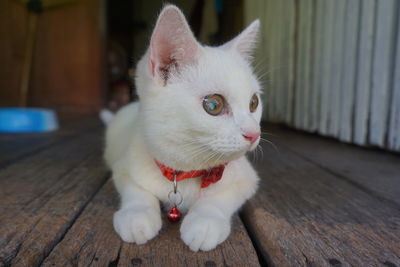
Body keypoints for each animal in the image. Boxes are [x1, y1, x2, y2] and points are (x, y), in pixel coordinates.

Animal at [102, 4, 262, 252]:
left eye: (254, 102)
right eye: (213, 105)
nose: (255, 133)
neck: (185, 170)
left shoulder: (247, 179)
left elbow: (219, 197)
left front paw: (205, 222)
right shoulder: (123, 168)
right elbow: (136, 190)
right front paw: (136, 216)